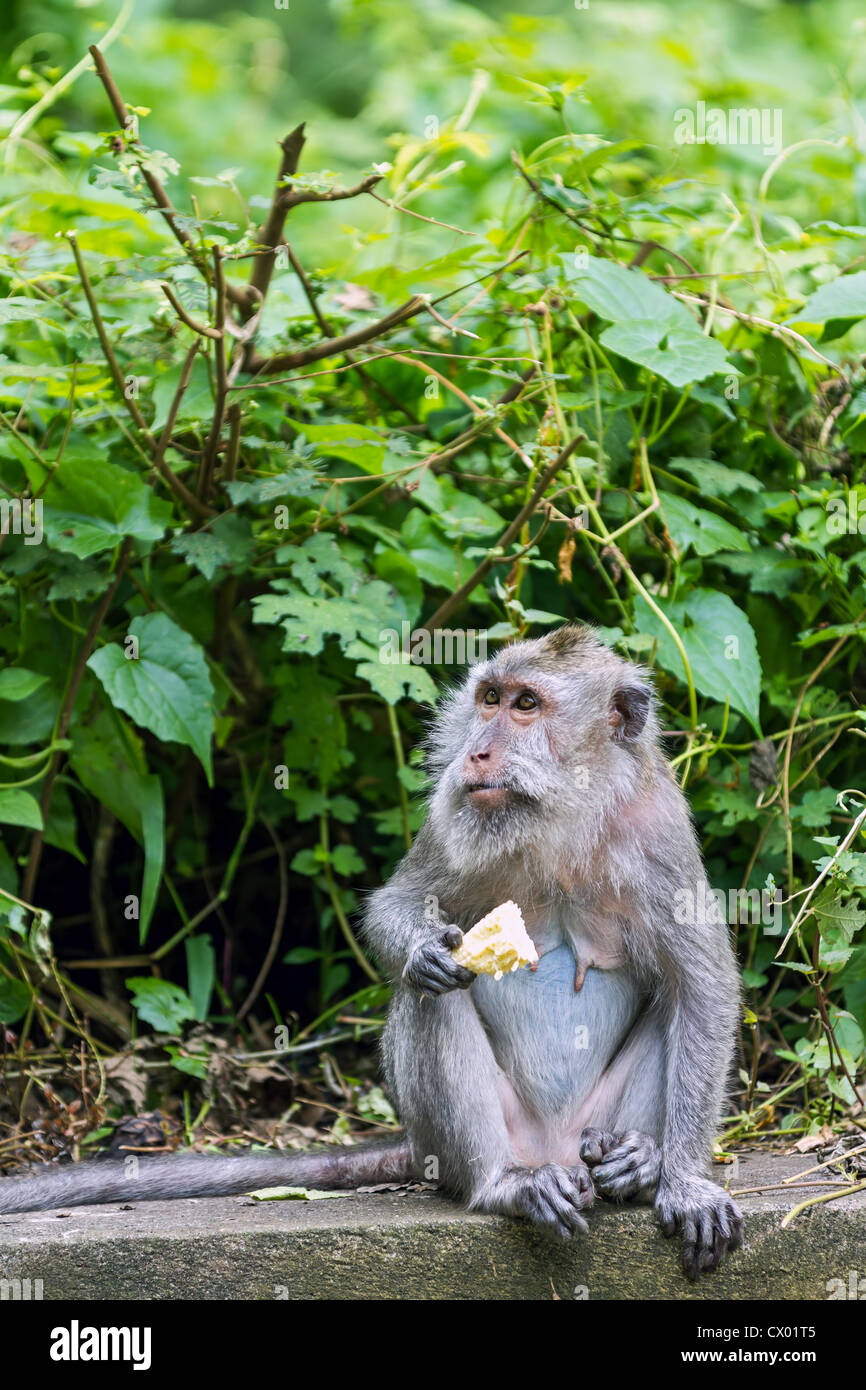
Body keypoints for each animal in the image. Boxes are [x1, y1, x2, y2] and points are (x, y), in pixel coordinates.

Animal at [0, 624, 743, 1282]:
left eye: (527, 705)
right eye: (490, 699)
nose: (475, 754)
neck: (566, 815)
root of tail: (549, 1149)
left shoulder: (660, 832)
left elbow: (702, 987)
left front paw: (684, 1182)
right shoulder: (453, 814)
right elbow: (399, 908)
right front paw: (421, 953)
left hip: (590, 1126)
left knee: (671, 1010)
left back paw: (636, 1162)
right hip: (467, 1141)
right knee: (433, 1004)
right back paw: (502, 1183)